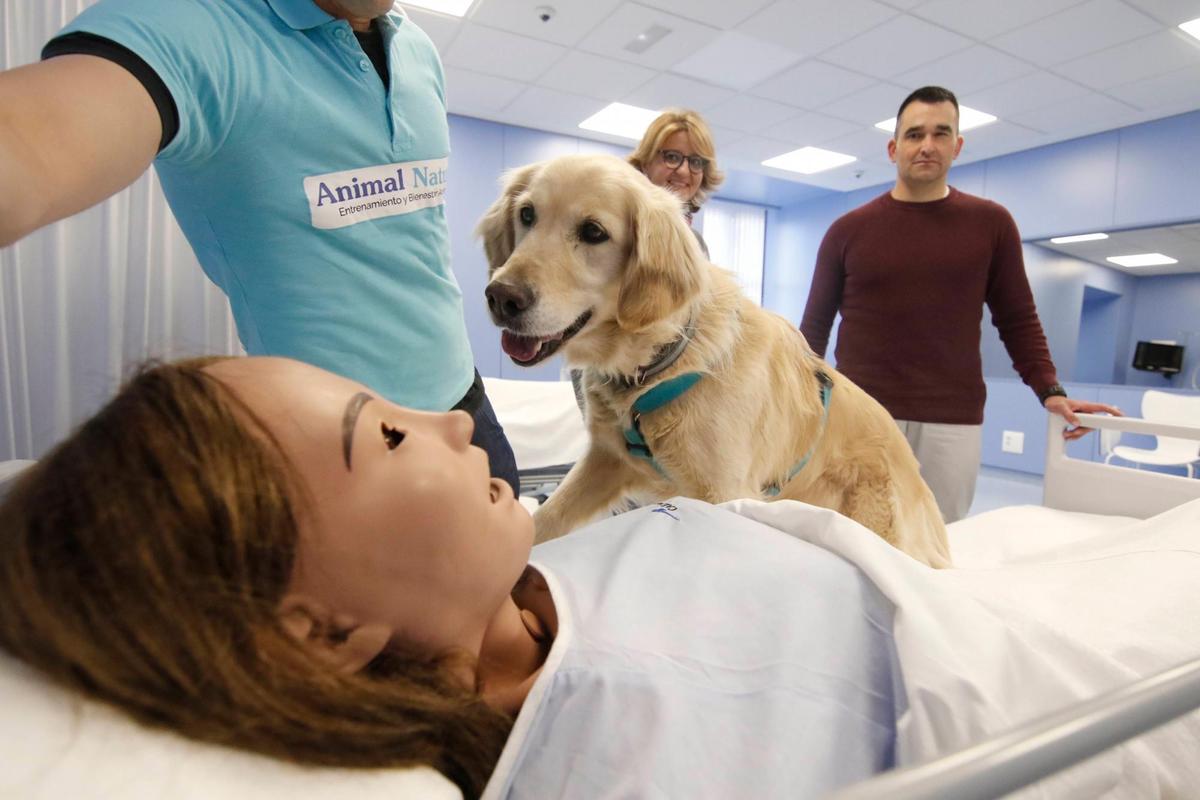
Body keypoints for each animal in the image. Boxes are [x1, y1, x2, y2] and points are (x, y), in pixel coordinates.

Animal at [472, 154, 950, 568]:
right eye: (527, 215)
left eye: (593, 232)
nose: (501, 297)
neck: (659, 363)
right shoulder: (604, 461)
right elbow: (546, 520)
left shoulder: (723, 494)